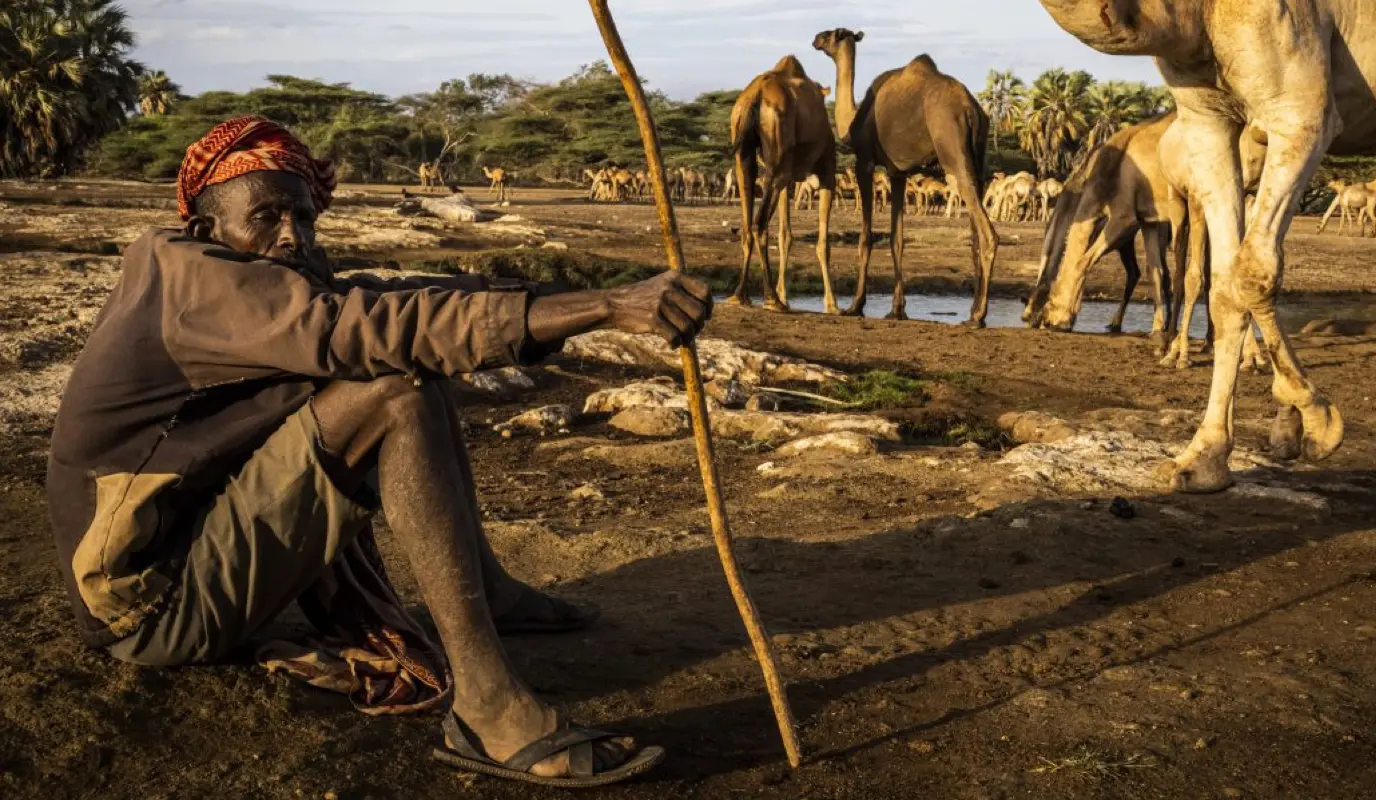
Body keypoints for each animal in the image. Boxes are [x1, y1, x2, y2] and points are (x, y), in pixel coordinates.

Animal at [726, 54, 831, 309]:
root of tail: (754, 96)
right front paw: (833, 305)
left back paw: (740, 296)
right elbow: (824, 242)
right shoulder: (827, 168)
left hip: (742, 146)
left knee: (747, 222)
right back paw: (772, 298)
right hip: (777, 149)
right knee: (760, 222)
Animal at [809, 28, 996, 320]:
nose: (815, 38)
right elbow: (897, 239)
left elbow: (866, 237)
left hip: (951, 147)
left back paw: (978, 315)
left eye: (831, 34)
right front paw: (897, 309)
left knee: (987, 232)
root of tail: (971, 110)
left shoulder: (865, 162)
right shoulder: (897, 173)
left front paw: (856, 305)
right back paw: (974, 309)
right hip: (977, 156)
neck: (853, 122)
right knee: (976, 231)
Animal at [1034, 0, 1359, 490]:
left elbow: (1231, 271)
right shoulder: (1203, 128)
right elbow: (1214, 282)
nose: (1043, 318)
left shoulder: (1301, 114)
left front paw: (1316, 420)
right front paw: (1204, 457)